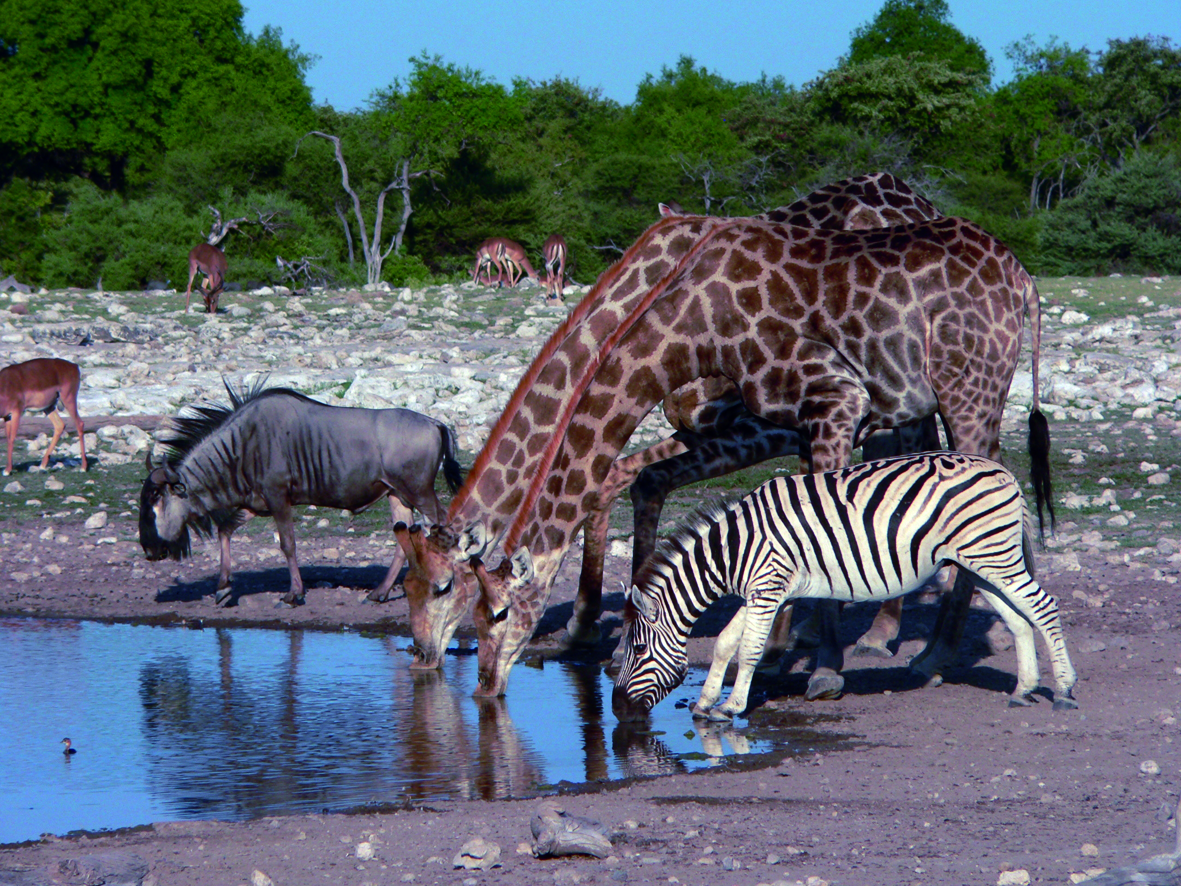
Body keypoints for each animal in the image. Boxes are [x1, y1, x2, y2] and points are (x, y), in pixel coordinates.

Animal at [468, 215, 1050, 698]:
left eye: (497, 613)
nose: (485, 685)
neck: (697, 327)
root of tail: (1023, 279)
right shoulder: (793, 423)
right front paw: (775, 655)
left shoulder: (836, 400)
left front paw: (823, 671)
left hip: (965, 392)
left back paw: (933, 657)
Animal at [611, 453, 1078, 722]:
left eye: (637, 649)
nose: (616, 708)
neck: (734, 548)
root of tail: (1005, 473)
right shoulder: (759, 591)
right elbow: (726, 644)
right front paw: (706, 703)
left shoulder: (768, 585)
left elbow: (748, 649)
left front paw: (731, 706)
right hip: (981, 562)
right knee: (1019, 619)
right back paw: (1023, 689)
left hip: (994, 554)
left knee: (1045, 608)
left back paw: (1064, 690)